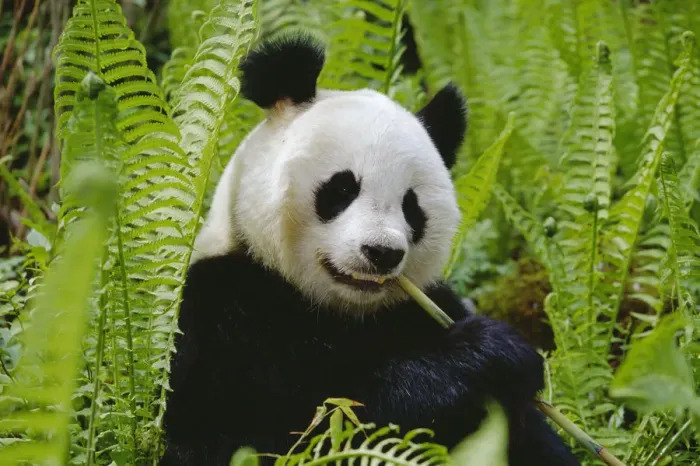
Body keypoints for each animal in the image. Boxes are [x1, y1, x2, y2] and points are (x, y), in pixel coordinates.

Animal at [160, 32, 581, 466]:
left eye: (411, 206)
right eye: (342, 188)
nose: (382, 252)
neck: (339, 310)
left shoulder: (420, 308)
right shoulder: (224, 314)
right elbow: (304, 424)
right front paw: (491, 355)